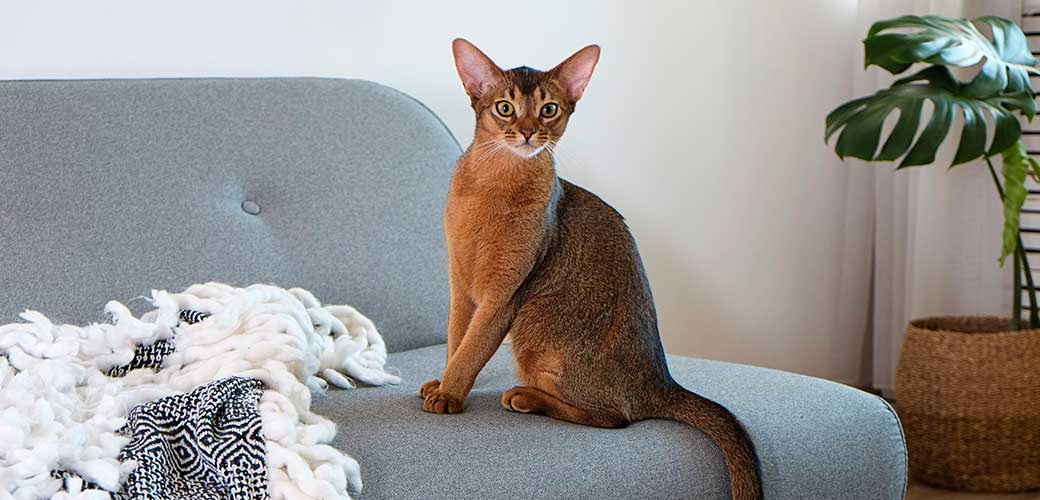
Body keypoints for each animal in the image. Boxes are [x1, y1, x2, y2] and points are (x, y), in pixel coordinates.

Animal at [418, 38, 761, 498]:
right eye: (505, 108)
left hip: (534, 332)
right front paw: (442, 382)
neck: (493, 183)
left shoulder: (504, 296)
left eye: (549, 109)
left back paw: (529, 399)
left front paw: (449, 394)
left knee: (617, 419)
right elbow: (457, 340)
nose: (528, 132)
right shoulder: (461, 287)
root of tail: (662, 383)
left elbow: (473, 349)